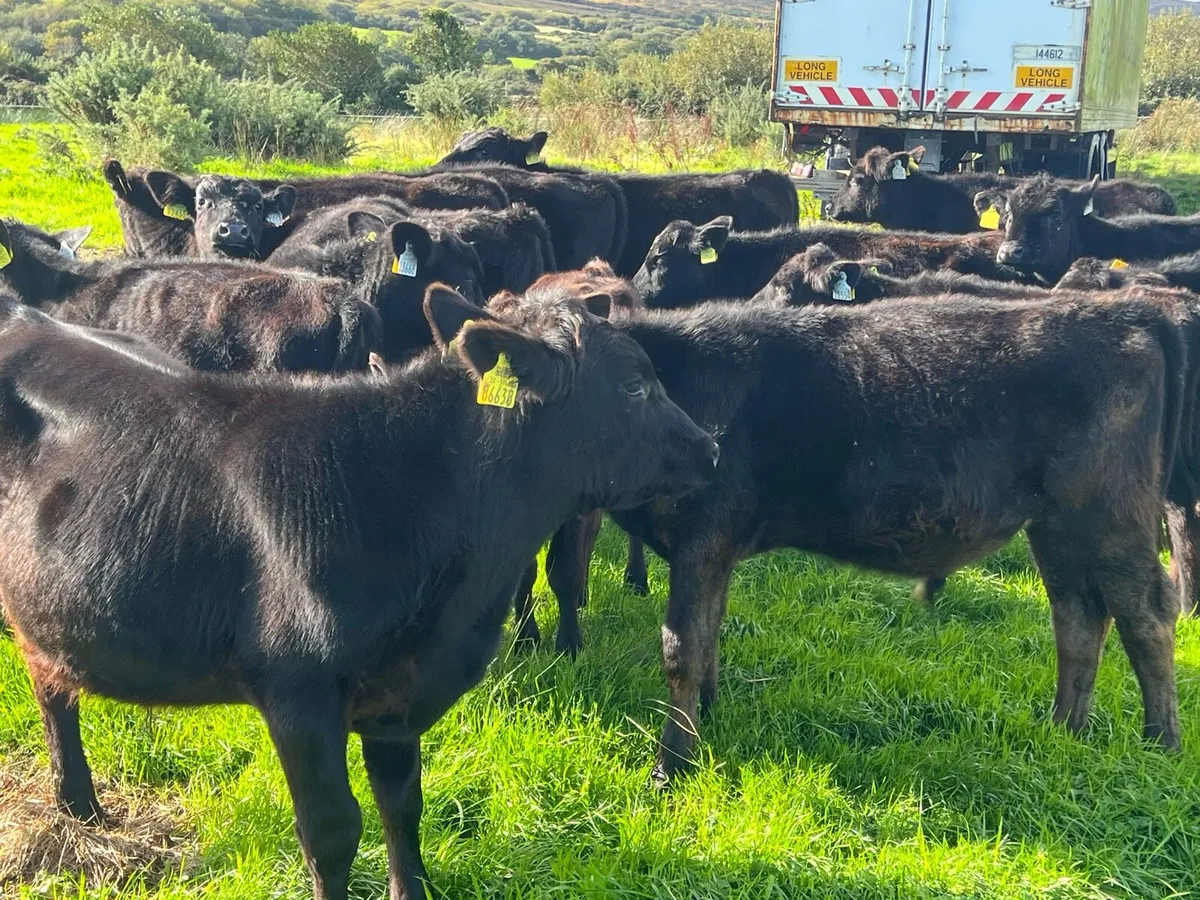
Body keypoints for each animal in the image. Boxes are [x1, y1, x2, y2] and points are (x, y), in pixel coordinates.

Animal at [0, 281, 719, 900]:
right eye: (634, 384)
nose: (709, 448)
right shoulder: (298, 692)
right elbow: (332, 831)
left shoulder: (398, 692)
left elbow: (403, 803)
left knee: (50, 685)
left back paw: (81, 807)